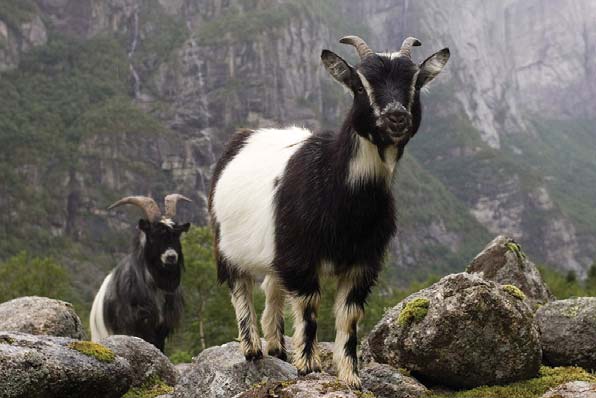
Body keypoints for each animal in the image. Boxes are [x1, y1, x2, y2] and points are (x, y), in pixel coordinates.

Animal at [208, 35, 448, 388]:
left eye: (415, 84)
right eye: (359, 86)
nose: (396, 117)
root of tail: (246, 135)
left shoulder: (363, 262)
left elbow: (350, 315)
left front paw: (350, 376)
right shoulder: (301, 256)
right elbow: (309, 306)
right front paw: (309, 366)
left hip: (276, 250)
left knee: (272, 287)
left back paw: (277, 346)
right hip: (226, 243)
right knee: (241, 288)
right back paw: (252, 349)